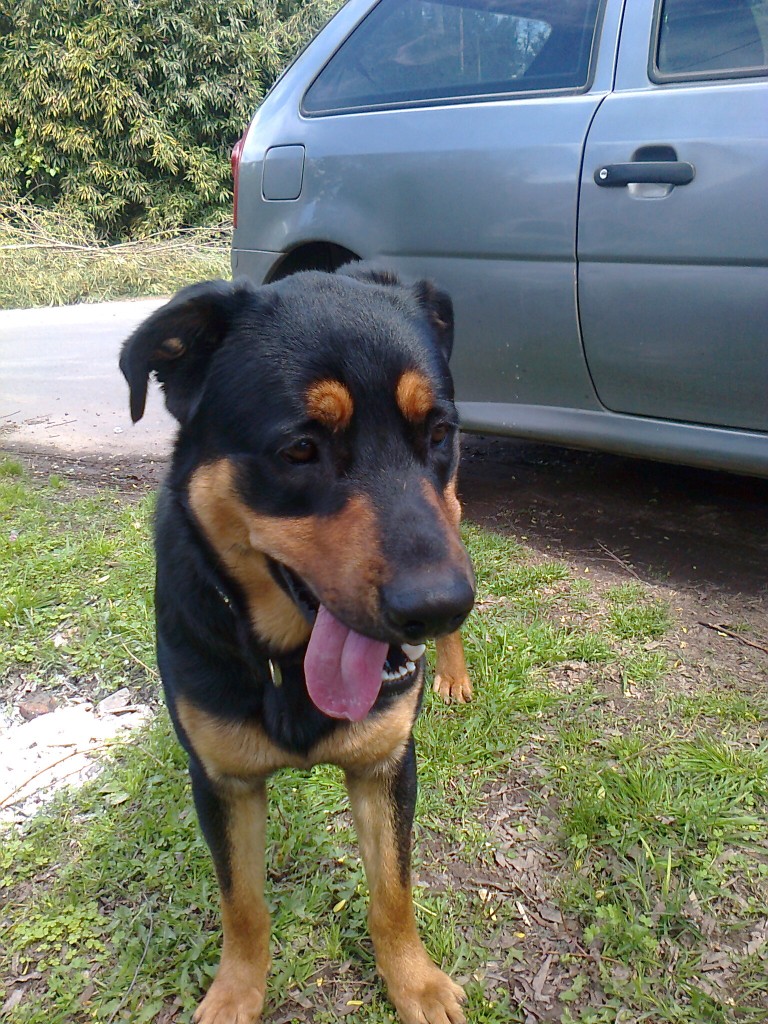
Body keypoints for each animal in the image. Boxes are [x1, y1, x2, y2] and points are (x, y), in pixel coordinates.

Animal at [120, 268, 475, 1024]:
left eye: (437, 433)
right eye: (300, 449)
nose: (438, 607)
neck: (287, 661)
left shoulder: (385, 765)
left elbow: (393, 892)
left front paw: (415, 982)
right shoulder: (221, 781)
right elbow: (243, 905)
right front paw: (235, 993)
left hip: (455, 515)